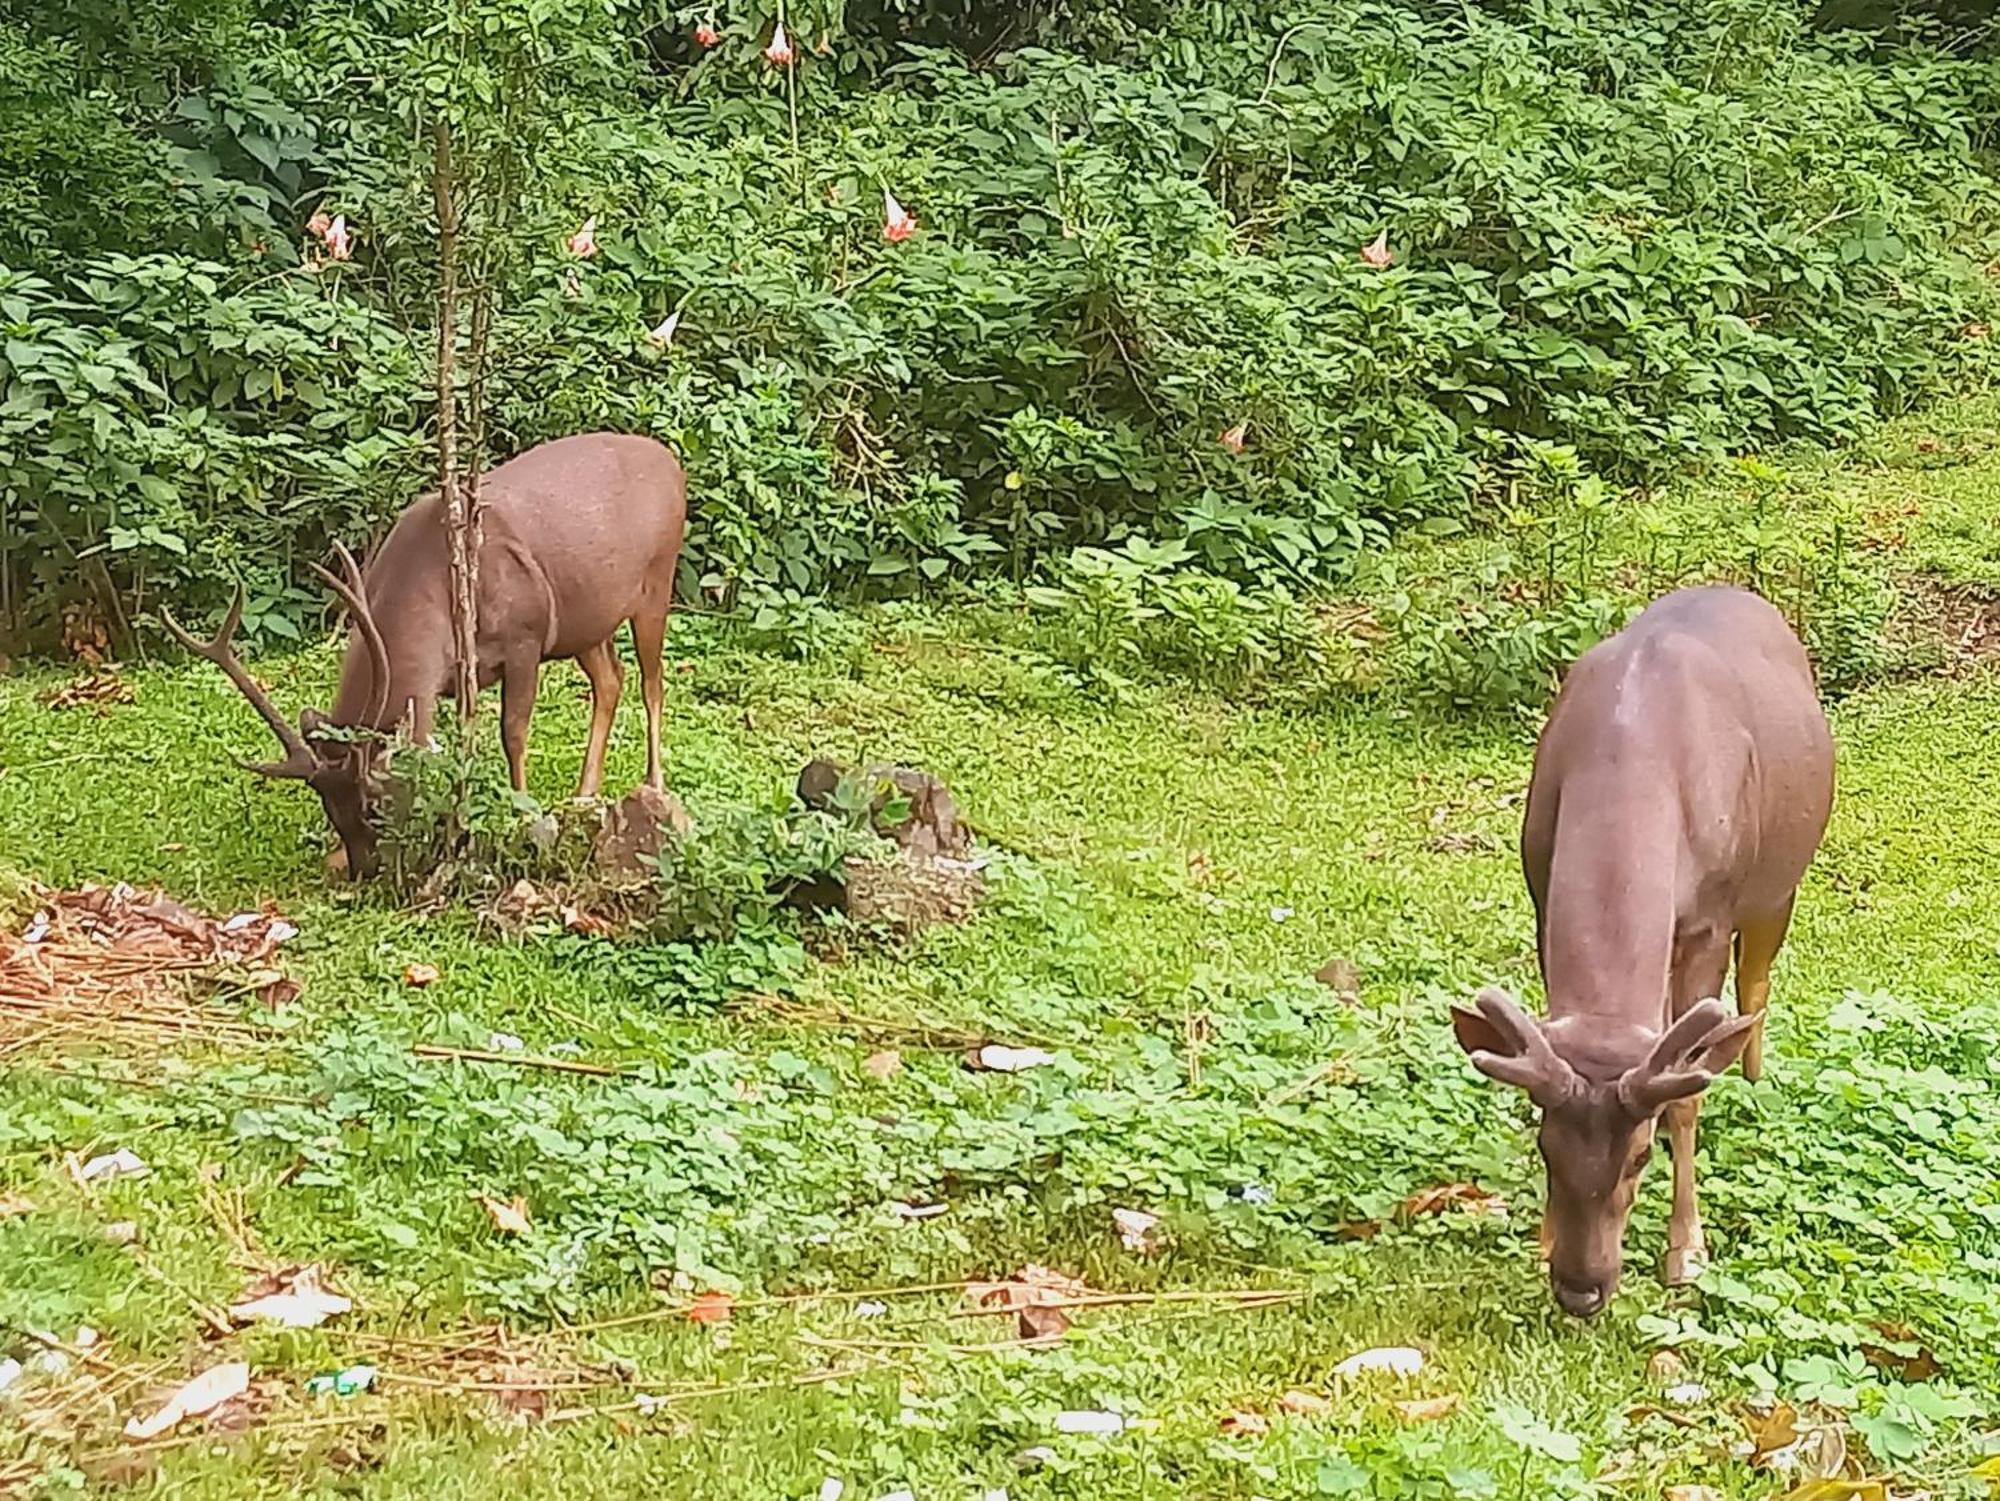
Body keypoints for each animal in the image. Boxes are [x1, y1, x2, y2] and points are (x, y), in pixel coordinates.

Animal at [160, 434, 688, 876]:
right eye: (330, 810)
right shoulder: (460, 672)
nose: (363, 869)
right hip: (586, 620)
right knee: (611, 678)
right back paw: (584, 796)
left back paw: (655, 788)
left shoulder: (526, 635)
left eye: (372, 806)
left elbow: (512, 733)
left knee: (652, 684)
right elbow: (460, 743)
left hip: (657, 581)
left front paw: (521, 814)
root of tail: (670, 460)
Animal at [1448, 588, 1832, 1312]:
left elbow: (1686, 1091)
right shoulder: (1540, 892)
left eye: (1640, 1155)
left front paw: (1686, 1251)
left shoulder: (1710, 915)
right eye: (1545, 1147)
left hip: (1778, 883)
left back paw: (1754, 1081)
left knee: (1756, 984)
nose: (1581, 1289)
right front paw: (1542, 1240)